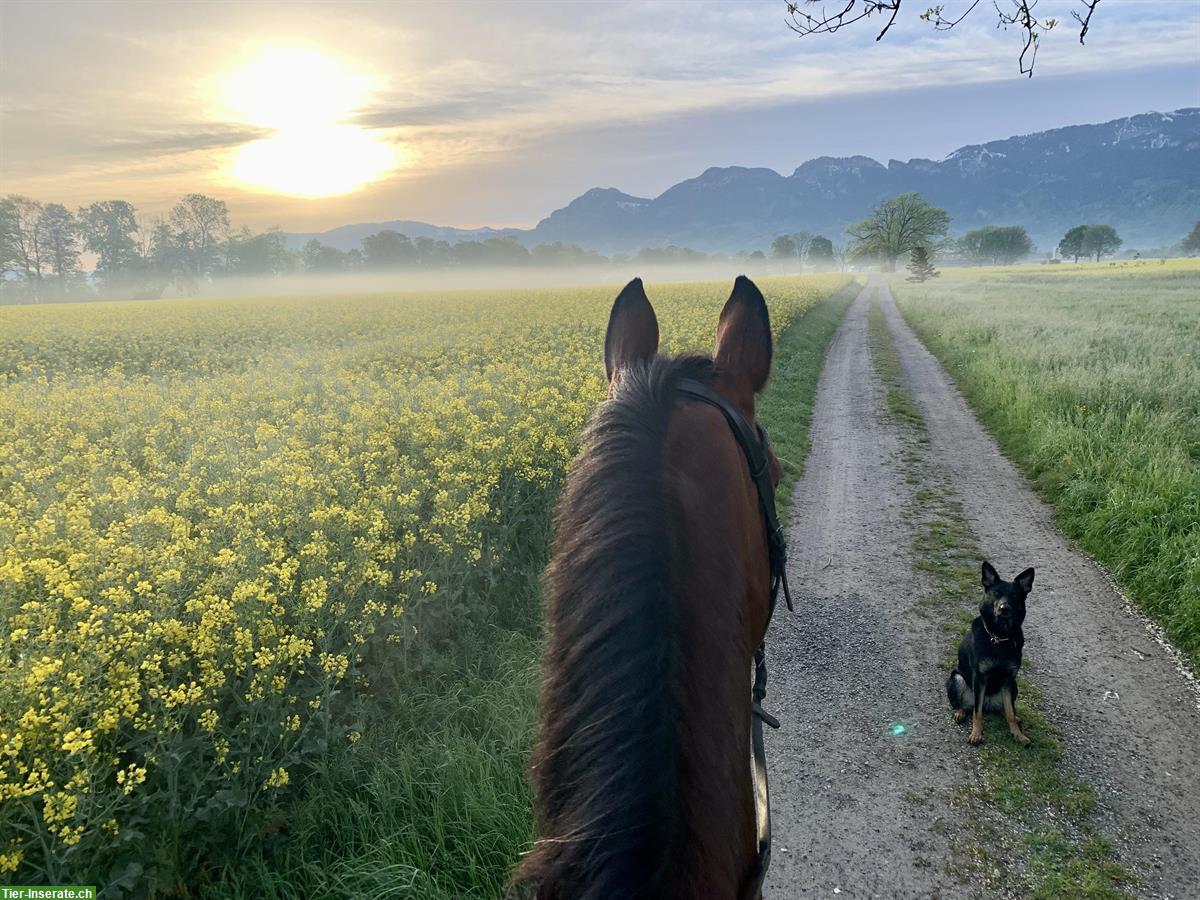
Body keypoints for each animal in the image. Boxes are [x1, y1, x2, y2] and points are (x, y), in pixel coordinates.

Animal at [945, 564, 1032, 748]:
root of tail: (988, 703)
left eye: (1014, 596)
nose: (1004, 608)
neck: (1000, 637)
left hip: (1014, 687)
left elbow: (1010, 713)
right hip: (957, 678)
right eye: (996, 593)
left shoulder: (1008, 679)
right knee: (965, 706)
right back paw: (960, 713)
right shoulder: (979, 678)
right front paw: (976, 734)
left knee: (1006, 709)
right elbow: (976, 713)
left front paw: (1018, 735)